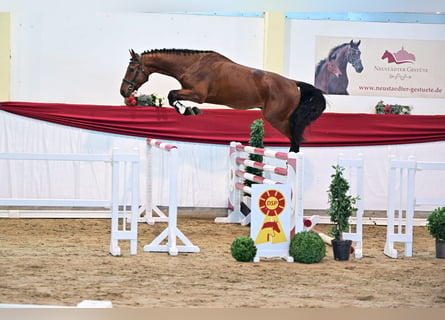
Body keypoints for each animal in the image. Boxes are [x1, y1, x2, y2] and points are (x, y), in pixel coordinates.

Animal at [119, 48, 324, 152]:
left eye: (132, 69)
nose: (123, 91)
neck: (192, 65)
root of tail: (292, 83)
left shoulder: (198, 95)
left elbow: (171, 95)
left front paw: (189, 110)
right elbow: (172, 96)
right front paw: (189, 110)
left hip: (277, 119)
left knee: (295, 141)